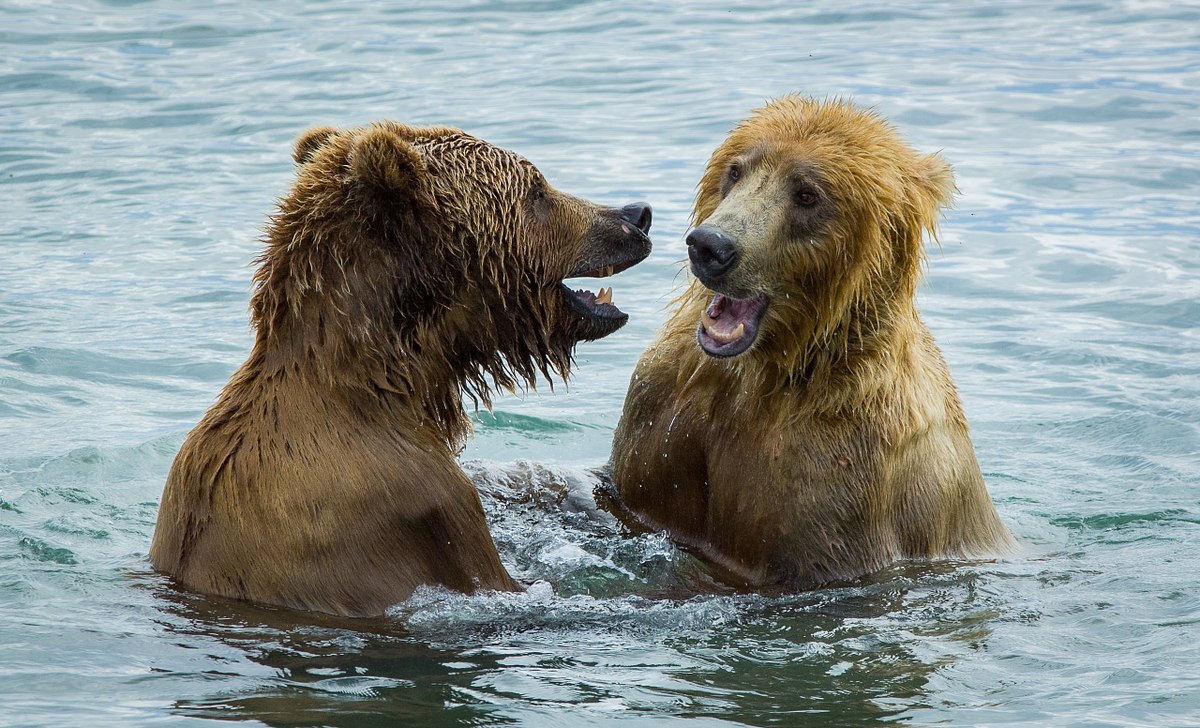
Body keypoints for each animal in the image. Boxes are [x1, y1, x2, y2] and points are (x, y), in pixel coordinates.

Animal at [607, 96, 1012, 590]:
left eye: (807, 194)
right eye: (736, 170)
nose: (710, 245)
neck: (762, 371)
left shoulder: (835, 468)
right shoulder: (661, 411)